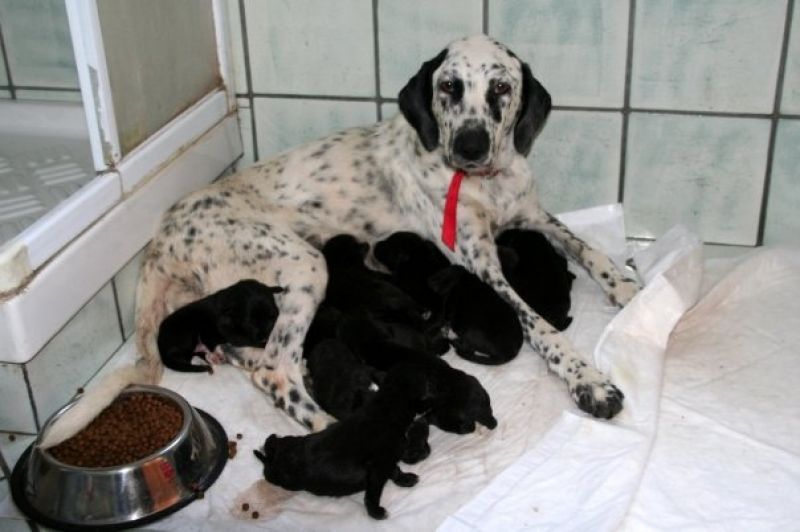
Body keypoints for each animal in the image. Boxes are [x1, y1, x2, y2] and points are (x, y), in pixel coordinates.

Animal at [42, 34, 636, 444]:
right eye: (449, 87)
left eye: (501, 88)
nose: (469, 146)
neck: (488, 183)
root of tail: (160, 239)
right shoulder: (478, 260)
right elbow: (536, 323)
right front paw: (588, 380)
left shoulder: (530, 215)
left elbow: (586, 246)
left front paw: (625, 284)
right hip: (305, 266)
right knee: (276, 371)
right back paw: (333, 428)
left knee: (251, 359)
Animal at [255, 364, 432, 516]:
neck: (386, 407)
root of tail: (271, 459)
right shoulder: (380, 465)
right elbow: (375, 490)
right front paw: (376, 511)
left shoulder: (386, 461)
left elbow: (395, 470)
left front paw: (406, 479)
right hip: (280, 477)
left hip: (287, 443)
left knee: (273, 442)